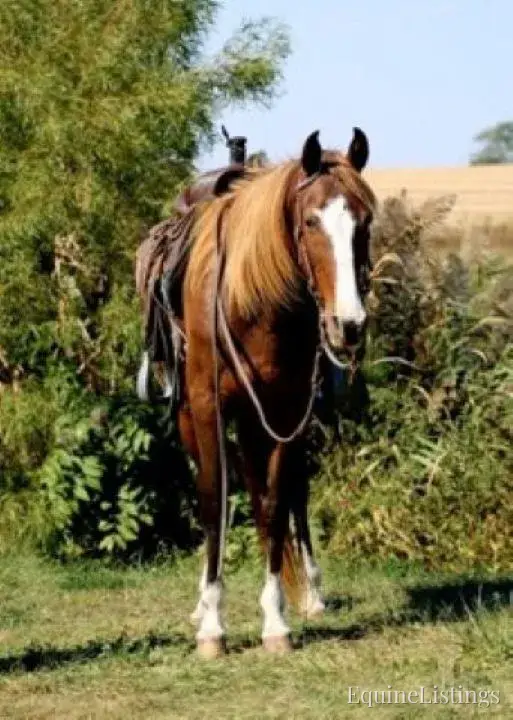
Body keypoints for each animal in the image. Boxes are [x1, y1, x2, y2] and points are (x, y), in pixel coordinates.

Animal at [137, 127, 376, 658]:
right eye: (310, 220)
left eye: (366, 221)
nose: (348, 325)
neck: (253, 303)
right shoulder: (208, 407)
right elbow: (214, 503)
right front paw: (212, 626)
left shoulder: (285, 411)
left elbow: (272, 507)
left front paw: (276, 621)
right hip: (195, 415)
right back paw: (203, 606)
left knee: (289, 495)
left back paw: (311, 593)